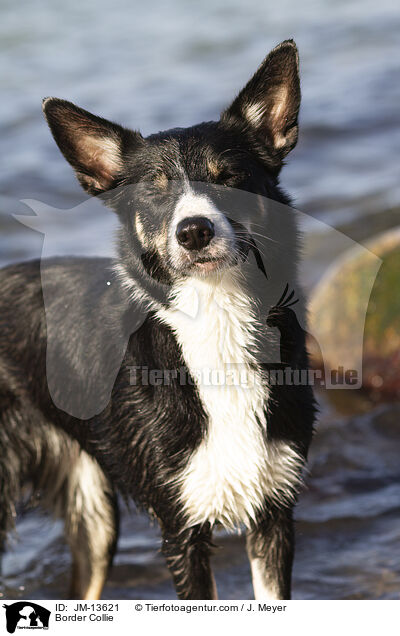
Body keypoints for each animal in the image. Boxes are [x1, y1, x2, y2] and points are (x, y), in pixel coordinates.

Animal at [0, 41, 316, 600]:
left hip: (94, 516)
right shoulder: (180, 530)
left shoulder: (275, 513)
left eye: (228, 178)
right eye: (155, 191)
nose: (193, 231)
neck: (217, 318)